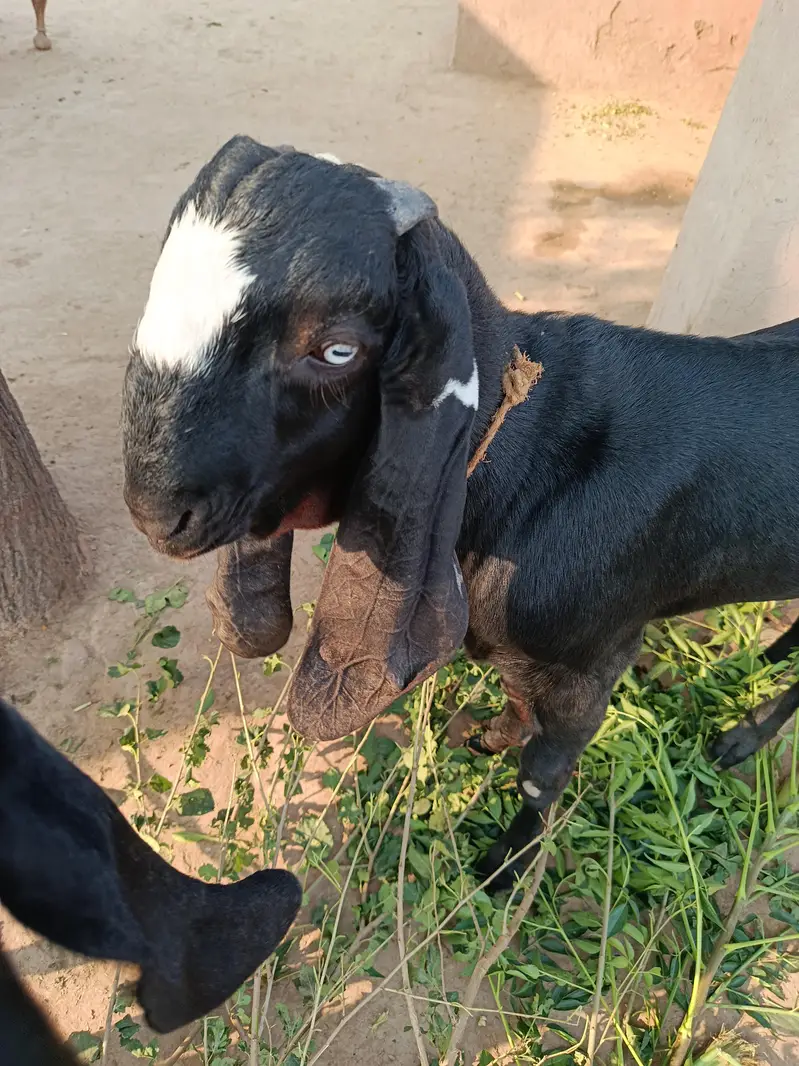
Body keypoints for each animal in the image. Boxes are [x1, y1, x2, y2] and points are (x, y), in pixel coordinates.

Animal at [121, 136, 799, 888]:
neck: (528, 461)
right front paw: (490, 738)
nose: (154, 512)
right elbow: (516, 700)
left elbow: (541, 774)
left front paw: (502, 871)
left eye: (336, 349)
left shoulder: (593, 662)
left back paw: (742, 738)